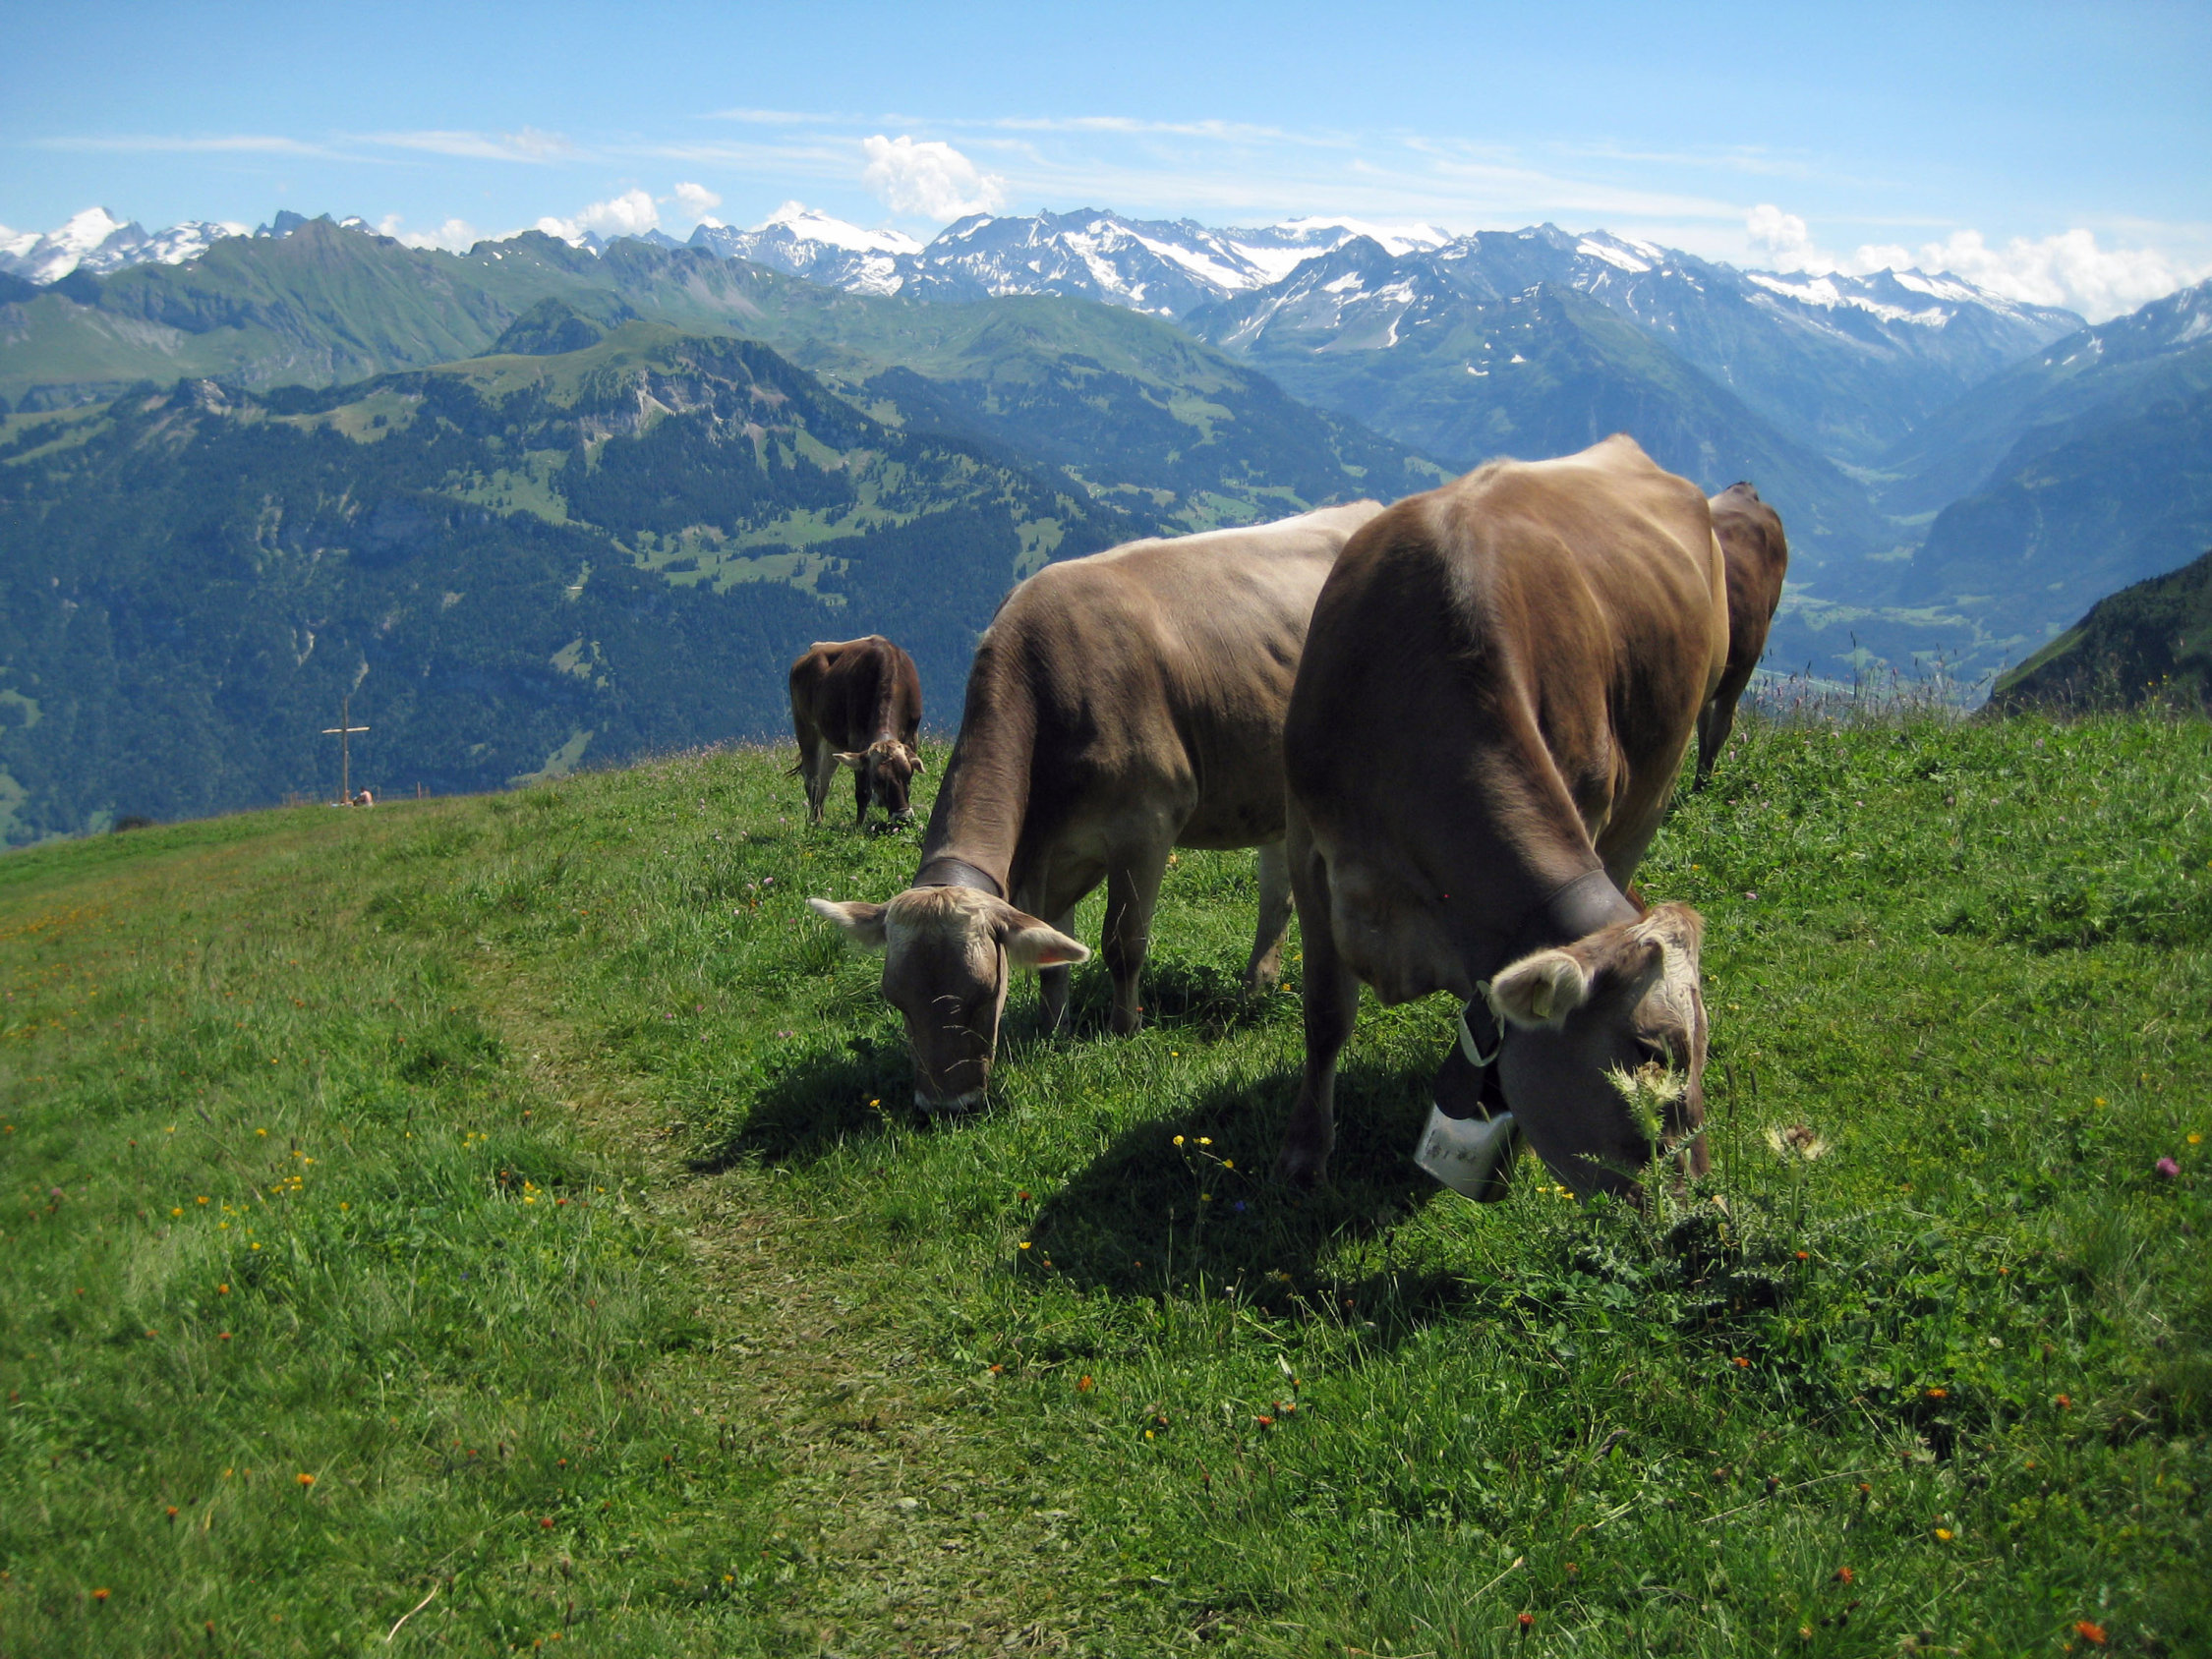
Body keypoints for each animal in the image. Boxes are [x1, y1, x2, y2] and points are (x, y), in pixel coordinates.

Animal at [788, 636, 924, 829]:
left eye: (908, 774)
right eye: (877, 780)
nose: (902, 817)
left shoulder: (913, 735)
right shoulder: (857, 740)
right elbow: (862, 792)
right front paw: (859, 826)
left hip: (831, 741)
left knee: (824, 778)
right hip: (806, 727)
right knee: (812, 778)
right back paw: (815, 822)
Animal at [808, 502, 1386, 1111]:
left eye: (984, 994)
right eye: (894, 998)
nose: (945, 1107)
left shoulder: (1146, 826)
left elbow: (1122, 942)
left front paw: (1123, 1029)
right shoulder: (1051, 852)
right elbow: (1053, 956)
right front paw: (1052, 1031)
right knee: (1277, 895)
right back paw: (1256, 988)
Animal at [1274, 436, 1729, 1205]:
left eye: (1699, 1054)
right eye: (1649, 1052)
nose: (1700, 1212)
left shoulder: (1589, 810)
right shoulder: (1311, 848)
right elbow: (1326, 1015)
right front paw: (1306, 1156)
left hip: (1656, 787)